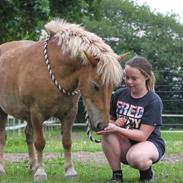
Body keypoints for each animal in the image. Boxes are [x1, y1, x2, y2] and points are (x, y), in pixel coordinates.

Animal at [0, 17, 123, 181]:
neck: (55, 73)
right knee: (4, 136)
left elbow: (67, 142)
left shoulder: (69, 113)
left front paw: (70, 171)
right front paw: (41, 173)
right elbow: (40, 143)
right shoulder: (37, 114)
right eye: (95, 85)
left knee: (28, 135)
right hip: (4, 112)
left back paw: (32, 166)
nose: (102, 125)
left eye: (113, 86)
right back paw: (3, 168)